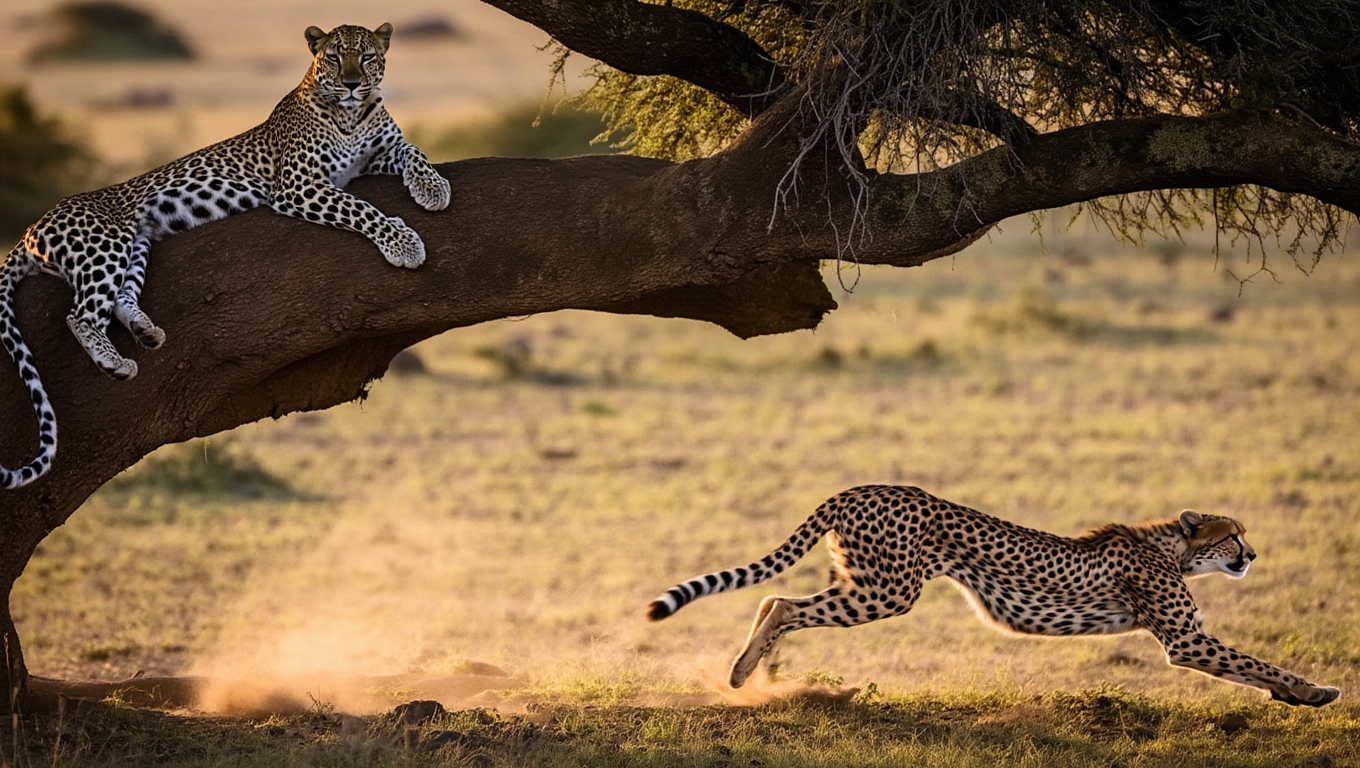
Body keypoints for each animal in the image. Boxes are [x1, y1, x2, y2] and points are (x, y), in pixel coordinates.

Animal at [0, 22, 450, 489]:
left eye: (365, 57)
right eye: (333, 57)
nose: (350, 83)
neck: (351, 114)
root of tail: (31, 227)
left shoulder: (378, 155)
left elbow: (413, 150)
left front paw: (432, 189)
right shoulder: (300, 185)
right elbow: (358, 207)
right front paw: (403, 242)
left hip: (137, 244)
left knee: (119, 297)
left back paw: (147, 334)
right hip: (105, 243)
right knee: (80, 314)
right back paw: (115, 363)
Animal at [648, 484, 1340, 706]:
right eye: (1233, 536)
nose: (1253, 556)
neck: (1173, 549)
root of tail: (862, 487)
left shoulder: (1188, 636)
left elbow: (1251, 666)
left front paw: (1294, 695)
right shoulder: (1185, 640)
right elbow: (1256, 661)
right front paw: (1315, 692)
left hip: (863, 580)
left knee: (775, 601)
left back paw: (747, 674)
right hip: (887, 591)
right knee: (785, 605)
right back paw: (742, 676)